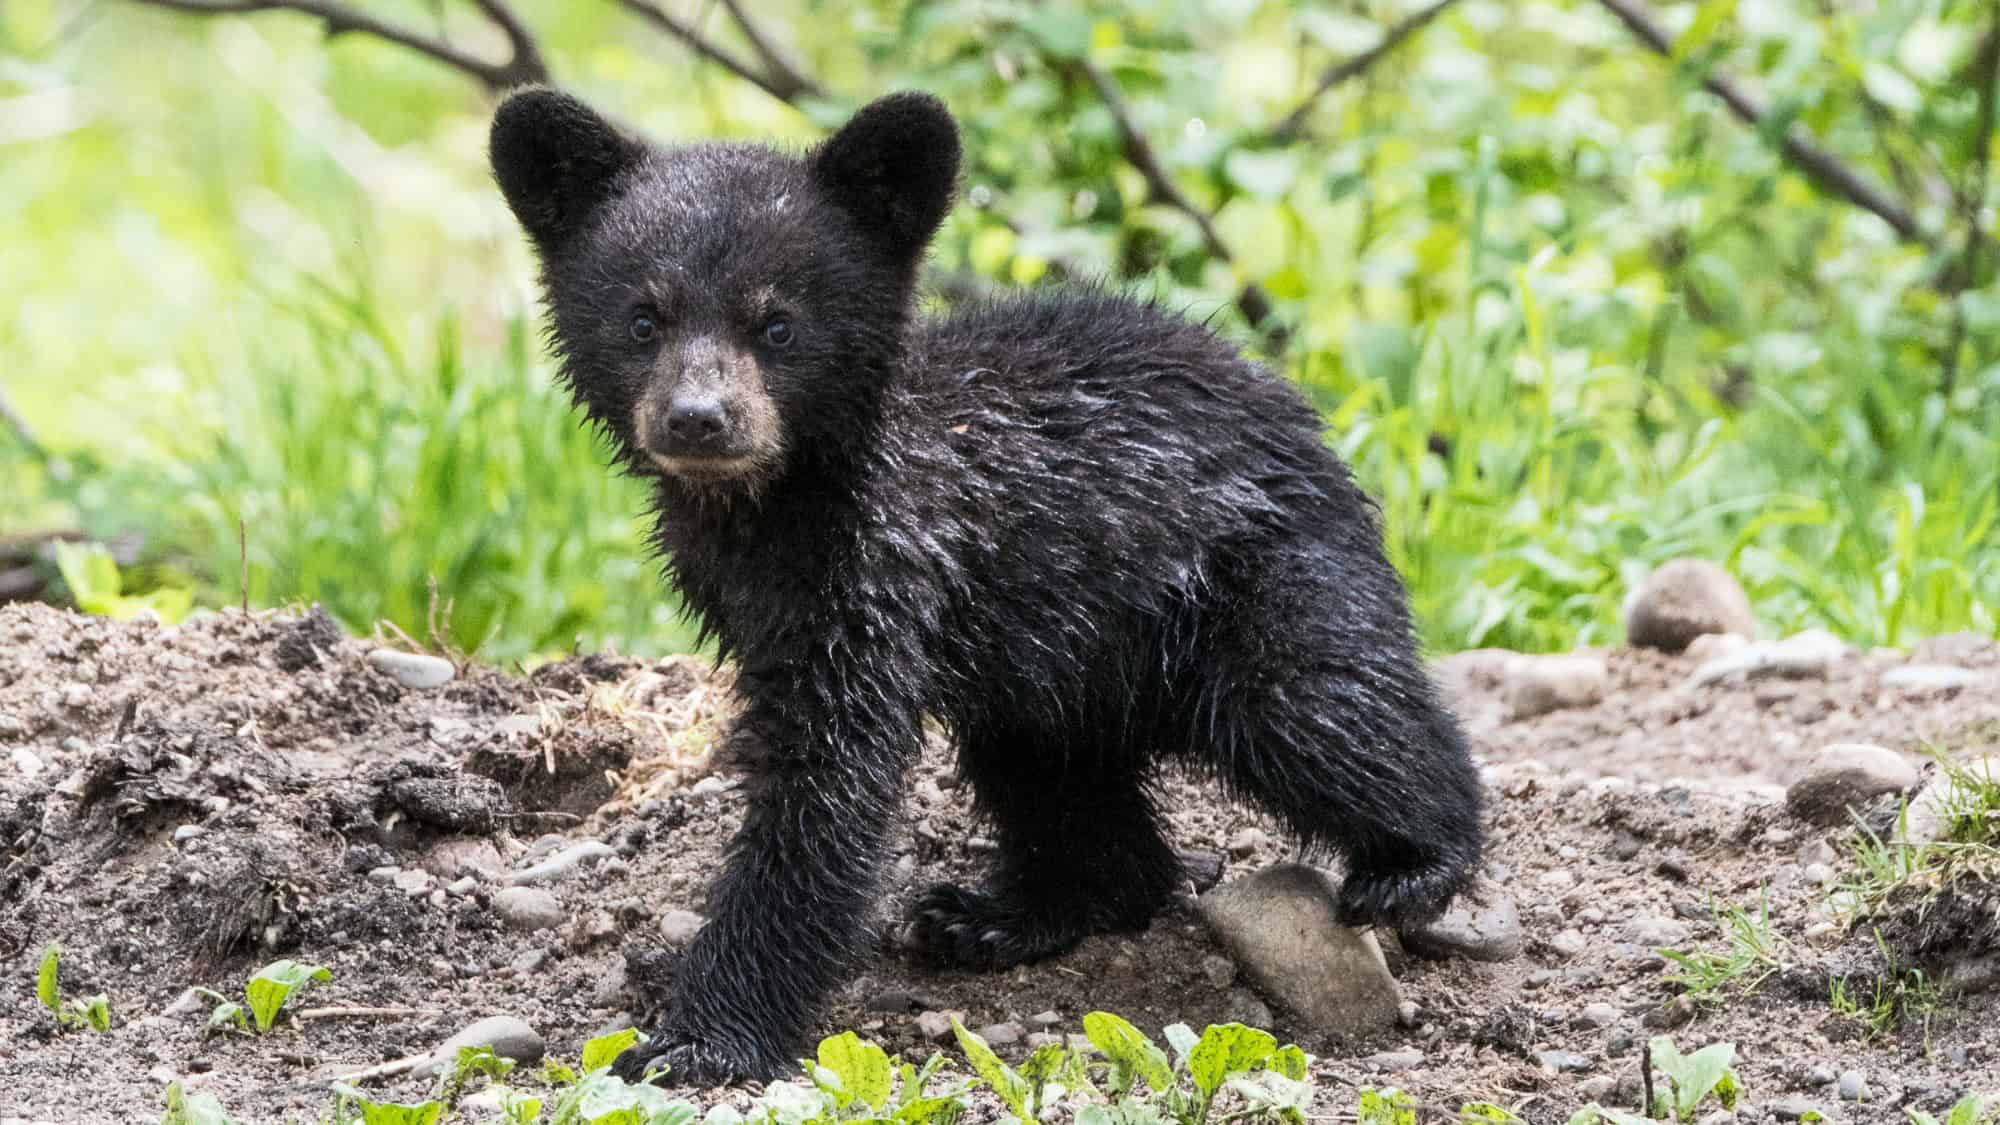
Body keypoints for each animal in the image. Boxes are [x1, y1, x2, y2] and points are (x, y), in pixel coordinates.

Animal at [489, 88, 1484, 1085]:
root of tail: (1304, 419)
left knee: (1319, 702)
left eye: (777, 323)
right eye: (642, 318)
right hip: (1053, 655)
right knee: (1055, 775)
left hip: (1249, 570)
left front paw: (700, 1035)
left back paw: (1420, 857)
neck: (776, 509)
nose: (698, 419)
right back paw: (1003, 914)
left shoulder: (880, 573)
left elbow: (826, 789)